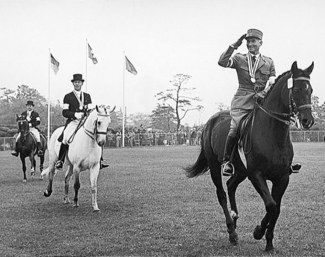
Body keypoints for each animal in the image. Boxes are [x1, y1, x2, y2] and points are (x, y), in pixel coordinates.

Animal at [185, 61, 314, 250]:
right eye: (296, 89)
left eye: (310, 90)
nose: (308, 121)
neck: (273, 135)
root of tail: (210, 121)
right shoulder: (256, 175)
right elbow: (271, 205)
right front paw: (258, 231)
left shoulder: (282, 177)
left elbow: (276, 208)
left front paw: (268, 243)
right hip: (216, 166)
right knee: (221, 194)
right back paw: (232, 231)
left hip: (240, 170)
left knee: (231, 185)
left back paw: (234, 218)